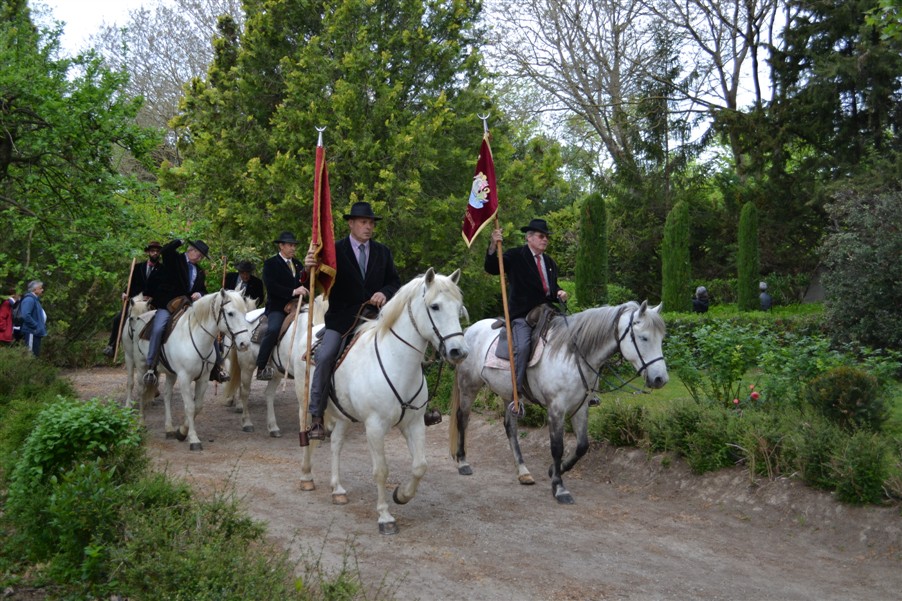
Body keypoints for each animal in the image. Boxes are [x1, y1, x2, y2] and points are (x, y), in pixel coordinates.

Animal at [136, 288, 254, 448]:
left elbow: (197, 406)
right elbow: (190, 407)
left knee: (167, 395)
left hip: (171, 374)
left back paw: (169, 429)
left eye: (245, 312)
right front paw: (193, 439)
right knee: (142, 392)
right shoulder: (185, 378)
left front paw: (181, 431)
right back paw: (141, 424)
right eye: (230, 313)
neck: (197, 339)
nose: (245, 344)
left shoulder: (203, 378)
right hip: (142, 366)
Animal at [223, 296, 328, 436]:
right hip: (247, 367)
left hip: (277, 373)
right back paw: (247, 423)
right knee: (245, 392)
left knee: (269, 394)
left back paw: (273, 427)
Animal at [296, 270, 470, 532]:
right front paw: (385, 517)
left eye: (458, 307)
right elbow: (381, 471)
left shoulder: (414, 423)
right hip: (305, 403)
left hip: (344, 415)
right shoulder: (375, 427)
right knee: (309, 438)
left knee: (336, 444)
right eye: (435, 306)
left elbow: (420, 466)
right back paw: (307, 477)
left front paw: (401, 495)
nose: (459, 351)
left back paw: (338, 489)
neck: (396, 362)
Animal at [452, 302, 672, 504]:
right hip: (469, 386)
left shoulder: (580, 407)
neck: (573, 356)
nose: (660, 379)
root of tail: (469, 330)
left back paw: (523, 471)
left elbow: (582, 446)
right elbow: (557, 447)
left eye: (661, 338)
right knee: (463, 418)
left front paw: (554, 470)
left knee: (510, 428)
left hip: (509, 395)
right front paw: (559, 488)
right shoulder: (556, 408)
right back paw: (462, 462)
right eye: (644, 337)